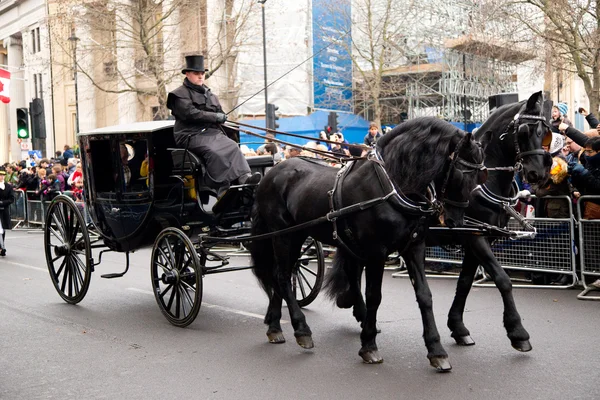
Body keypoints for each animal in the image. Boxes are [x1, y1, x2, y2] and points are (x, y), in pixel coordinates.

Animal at [248, 117, 488, 370]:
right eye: (460, 174)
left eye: (481, 177)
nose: (455, 221)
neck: (392, 185)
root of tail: (270, 173)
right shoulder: (376, 252)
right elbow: (374, 296)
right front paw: (369, 345)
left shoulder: (414, 247)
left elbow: (424, 295)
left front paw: (436, 350)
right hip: (284, 235)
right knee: (282, 275)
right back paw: (301, 330)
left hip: (296, 235)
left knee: (279, 274)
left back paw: (275, 327)